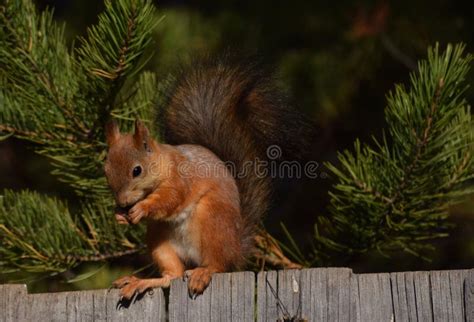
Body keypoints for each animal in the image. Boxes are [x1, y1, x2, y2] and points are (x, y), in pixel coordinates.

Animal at [103, 56, 312, 300]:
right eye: (106, 170)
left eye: (137, 170)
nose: (123, 202)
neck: (164, 164)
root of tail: (236, 249)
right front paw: (119, 215)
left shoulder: (181, 180)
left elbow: (170, 199)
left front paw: (142, 208)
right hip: (159, 240)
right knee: (172, 275)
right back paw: (140, 282)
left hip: (212, 222)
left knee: (217, 265)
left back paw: (203, 273)